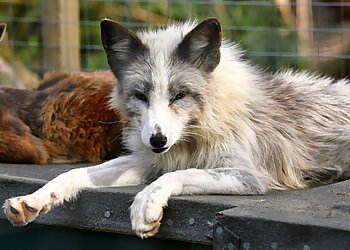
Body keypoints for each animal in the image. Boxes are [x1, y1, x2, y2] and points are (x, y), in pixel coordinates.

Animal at [3, 18, 350, 238]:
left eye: (179, 95)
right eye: (141, 96)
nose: (157, 140)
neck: (193, 135)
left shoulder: (245, 175)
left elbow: (179, 174)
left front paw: (145, 204)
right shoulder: (147, 162)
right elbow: (73, 174)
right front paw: (32, 200)